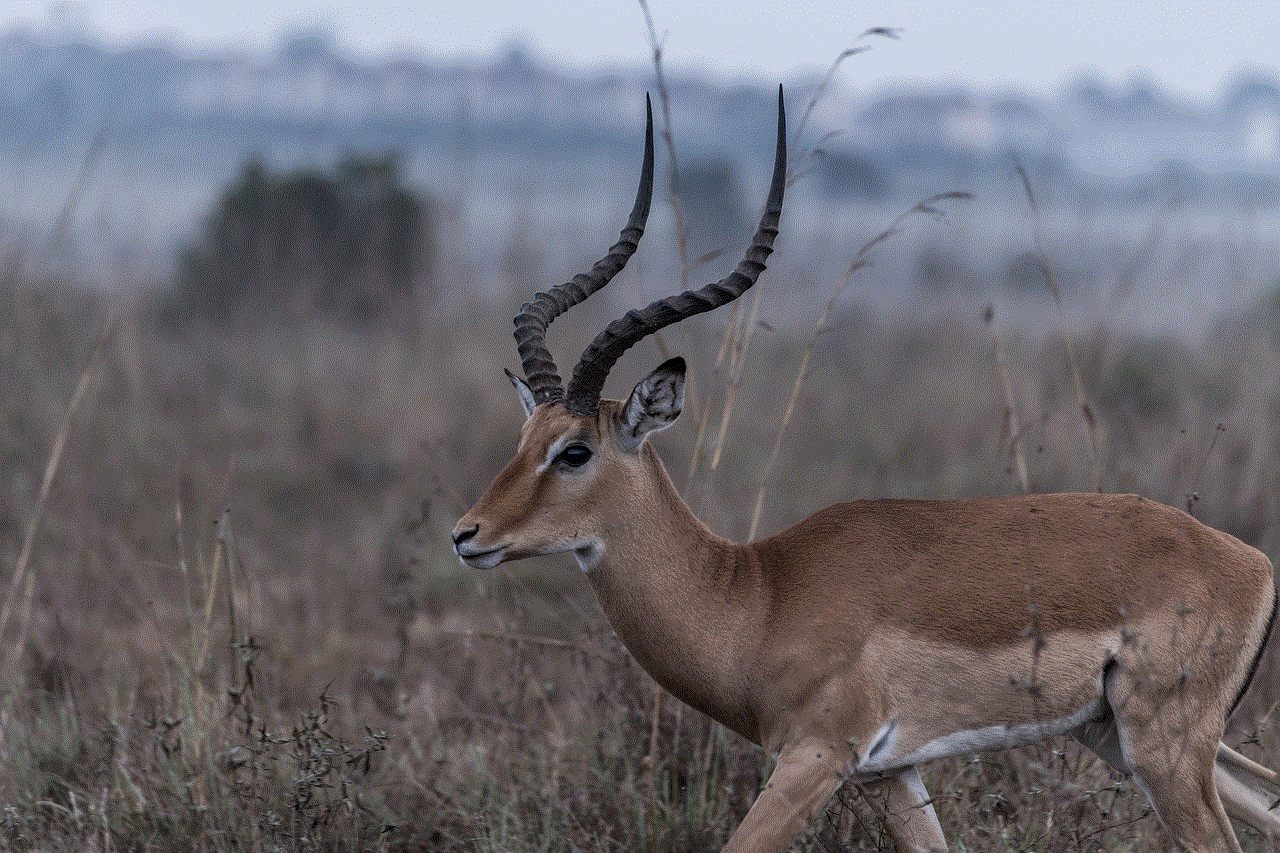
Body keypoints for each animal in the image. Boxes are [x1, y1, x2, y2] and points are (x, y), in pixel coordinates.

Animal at [450, 89, 1280, 845]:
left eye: (575, 450)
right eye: (525, 436)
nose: (467, 533)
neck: (756, 598)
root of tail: (1252, 563)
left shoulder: (817, 758)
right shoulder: (890, 772)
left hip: (1163, 748)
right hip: (1117, 734)